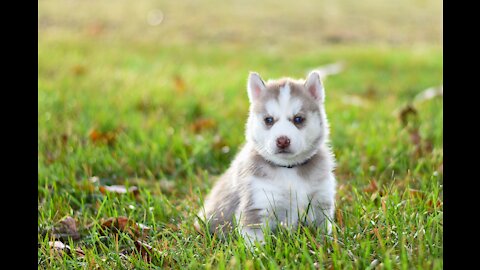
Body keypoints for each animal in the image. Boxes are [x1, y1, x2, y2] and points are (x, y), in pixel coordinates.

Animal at [194, 70, 334, 244]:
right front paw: (259, 251)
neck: (289, 169)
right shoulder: (257, 205)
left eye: (298, 119)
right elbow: (257, 243)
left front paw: (326, 244)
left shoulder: (321, 200)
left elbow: (324, 231)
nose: (282, 140)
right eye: (269, 120)